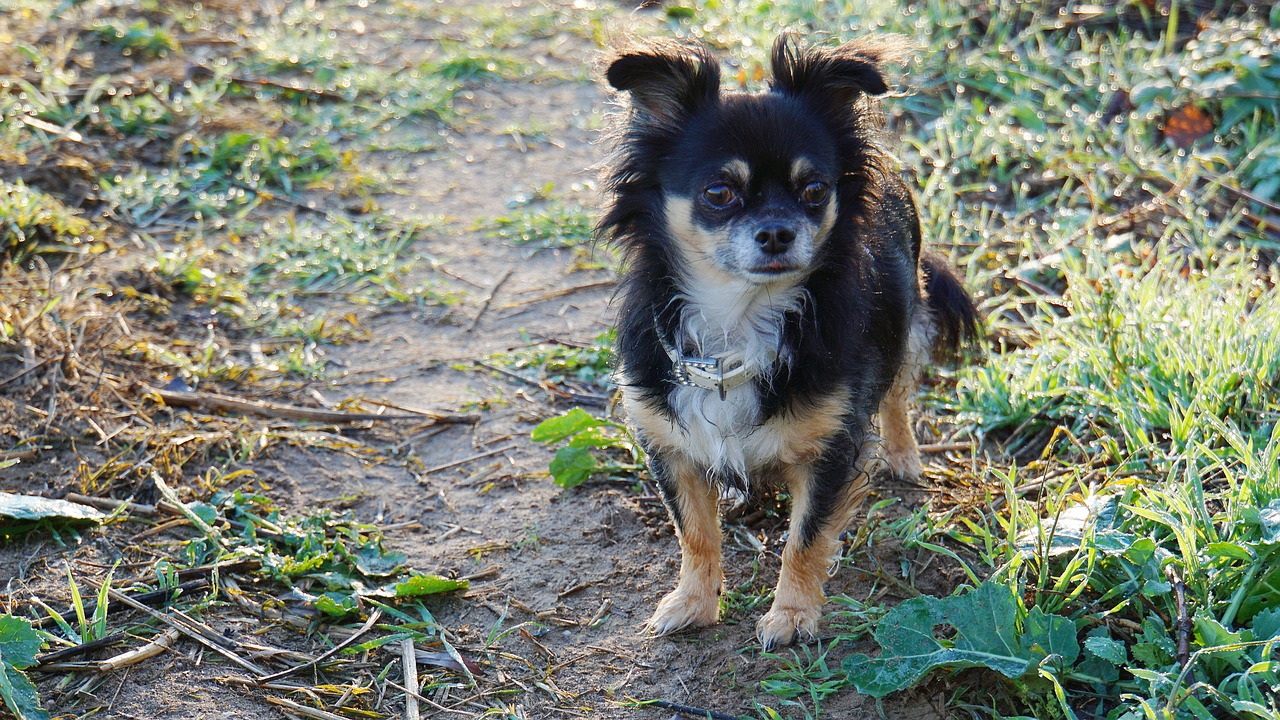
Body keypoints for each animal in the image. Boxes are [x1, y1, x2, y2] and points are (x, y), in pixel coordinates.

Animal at [599, 35, 977, 650]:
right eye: (719, 192)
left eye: (814, 190)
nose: (777, 231)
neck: (739, 321)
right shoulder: (668, 444)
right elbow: (694, 532)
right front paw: (694, 602)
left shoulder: (832, 448)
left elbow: (807, 537)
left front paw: (793, 614)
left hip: (909, 322)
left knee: (897, 394)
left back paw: (902, 455)